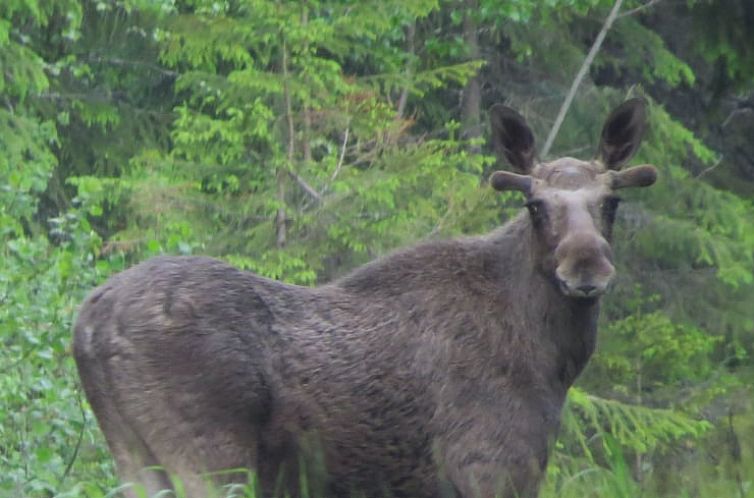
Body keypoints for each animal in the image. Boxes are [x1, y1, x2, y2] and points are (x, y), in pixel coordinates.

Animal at [73, 99, 656, 496]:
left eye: (612, 202)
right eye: (535, 206)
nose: (586, 266)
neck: (554, 359)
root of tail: (88, 324)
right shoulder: (494, 466)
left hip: (133, 455)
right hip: (211, 459)